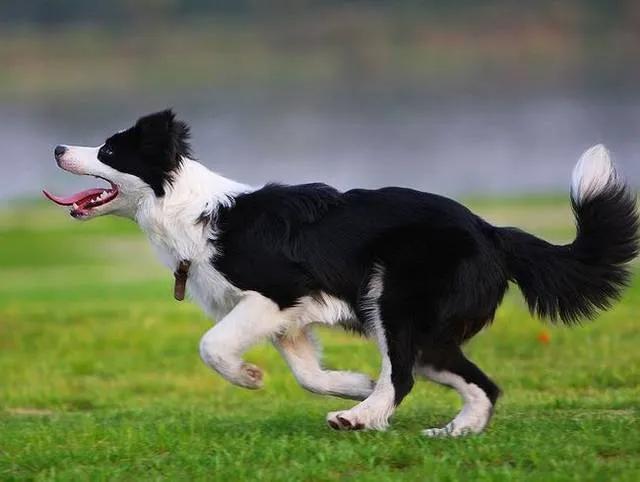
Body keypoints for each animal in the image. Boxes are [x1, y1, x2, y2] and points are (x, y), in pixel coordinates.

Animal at [42, 110, 636, 436]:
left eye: (108, 149)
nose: (57, 146)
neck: (188, 210)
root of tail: (493, 231)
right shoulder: (288, 319)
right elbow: (308, 374)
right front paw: (351, 385)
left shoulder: (276, 293)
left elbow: (212, 345)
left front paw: (249, 377)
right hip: (424, 332)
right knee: (474, 382)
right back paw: (451, 431)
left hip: (393, 303)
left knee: (404, 375)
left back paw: (363, 420)